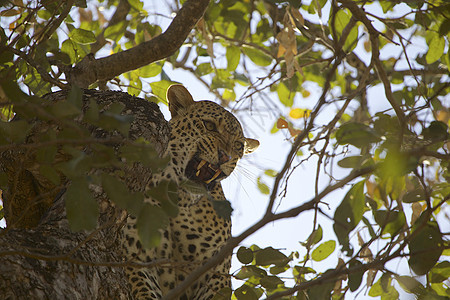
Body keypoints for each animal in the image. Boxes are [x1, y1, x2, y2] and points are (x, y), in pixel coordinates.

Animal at [120, 84, 260, 300]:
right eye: (209, 126)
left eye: (238, 146)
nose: (225, 157)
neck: (178, 199)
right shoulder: (136, 255)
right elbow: (145, 290)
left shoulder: (215, 270)